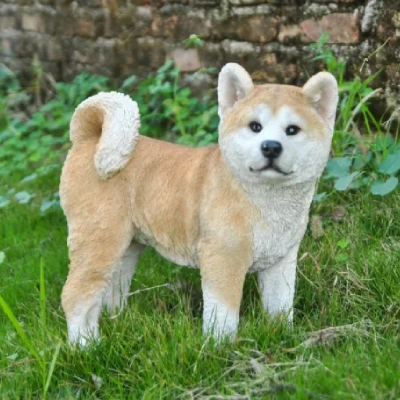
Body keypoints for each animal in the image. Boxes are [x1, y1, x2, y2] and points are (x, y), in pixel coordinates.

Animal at [60, 61, 338, 344]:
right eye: (255, 127)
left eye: (292, 129)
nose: (271, 147)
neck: (266, 199)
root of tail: (88, 140)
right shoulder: (223, 257)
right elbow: (223, 315)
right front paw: (220, 346)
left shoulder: (281, 260)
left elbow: (280, 306)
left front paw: (283, 336)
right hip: (99, 238)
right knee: (75, 295)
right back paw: (86, 345)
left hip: (126, 246)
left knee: (108, 293)